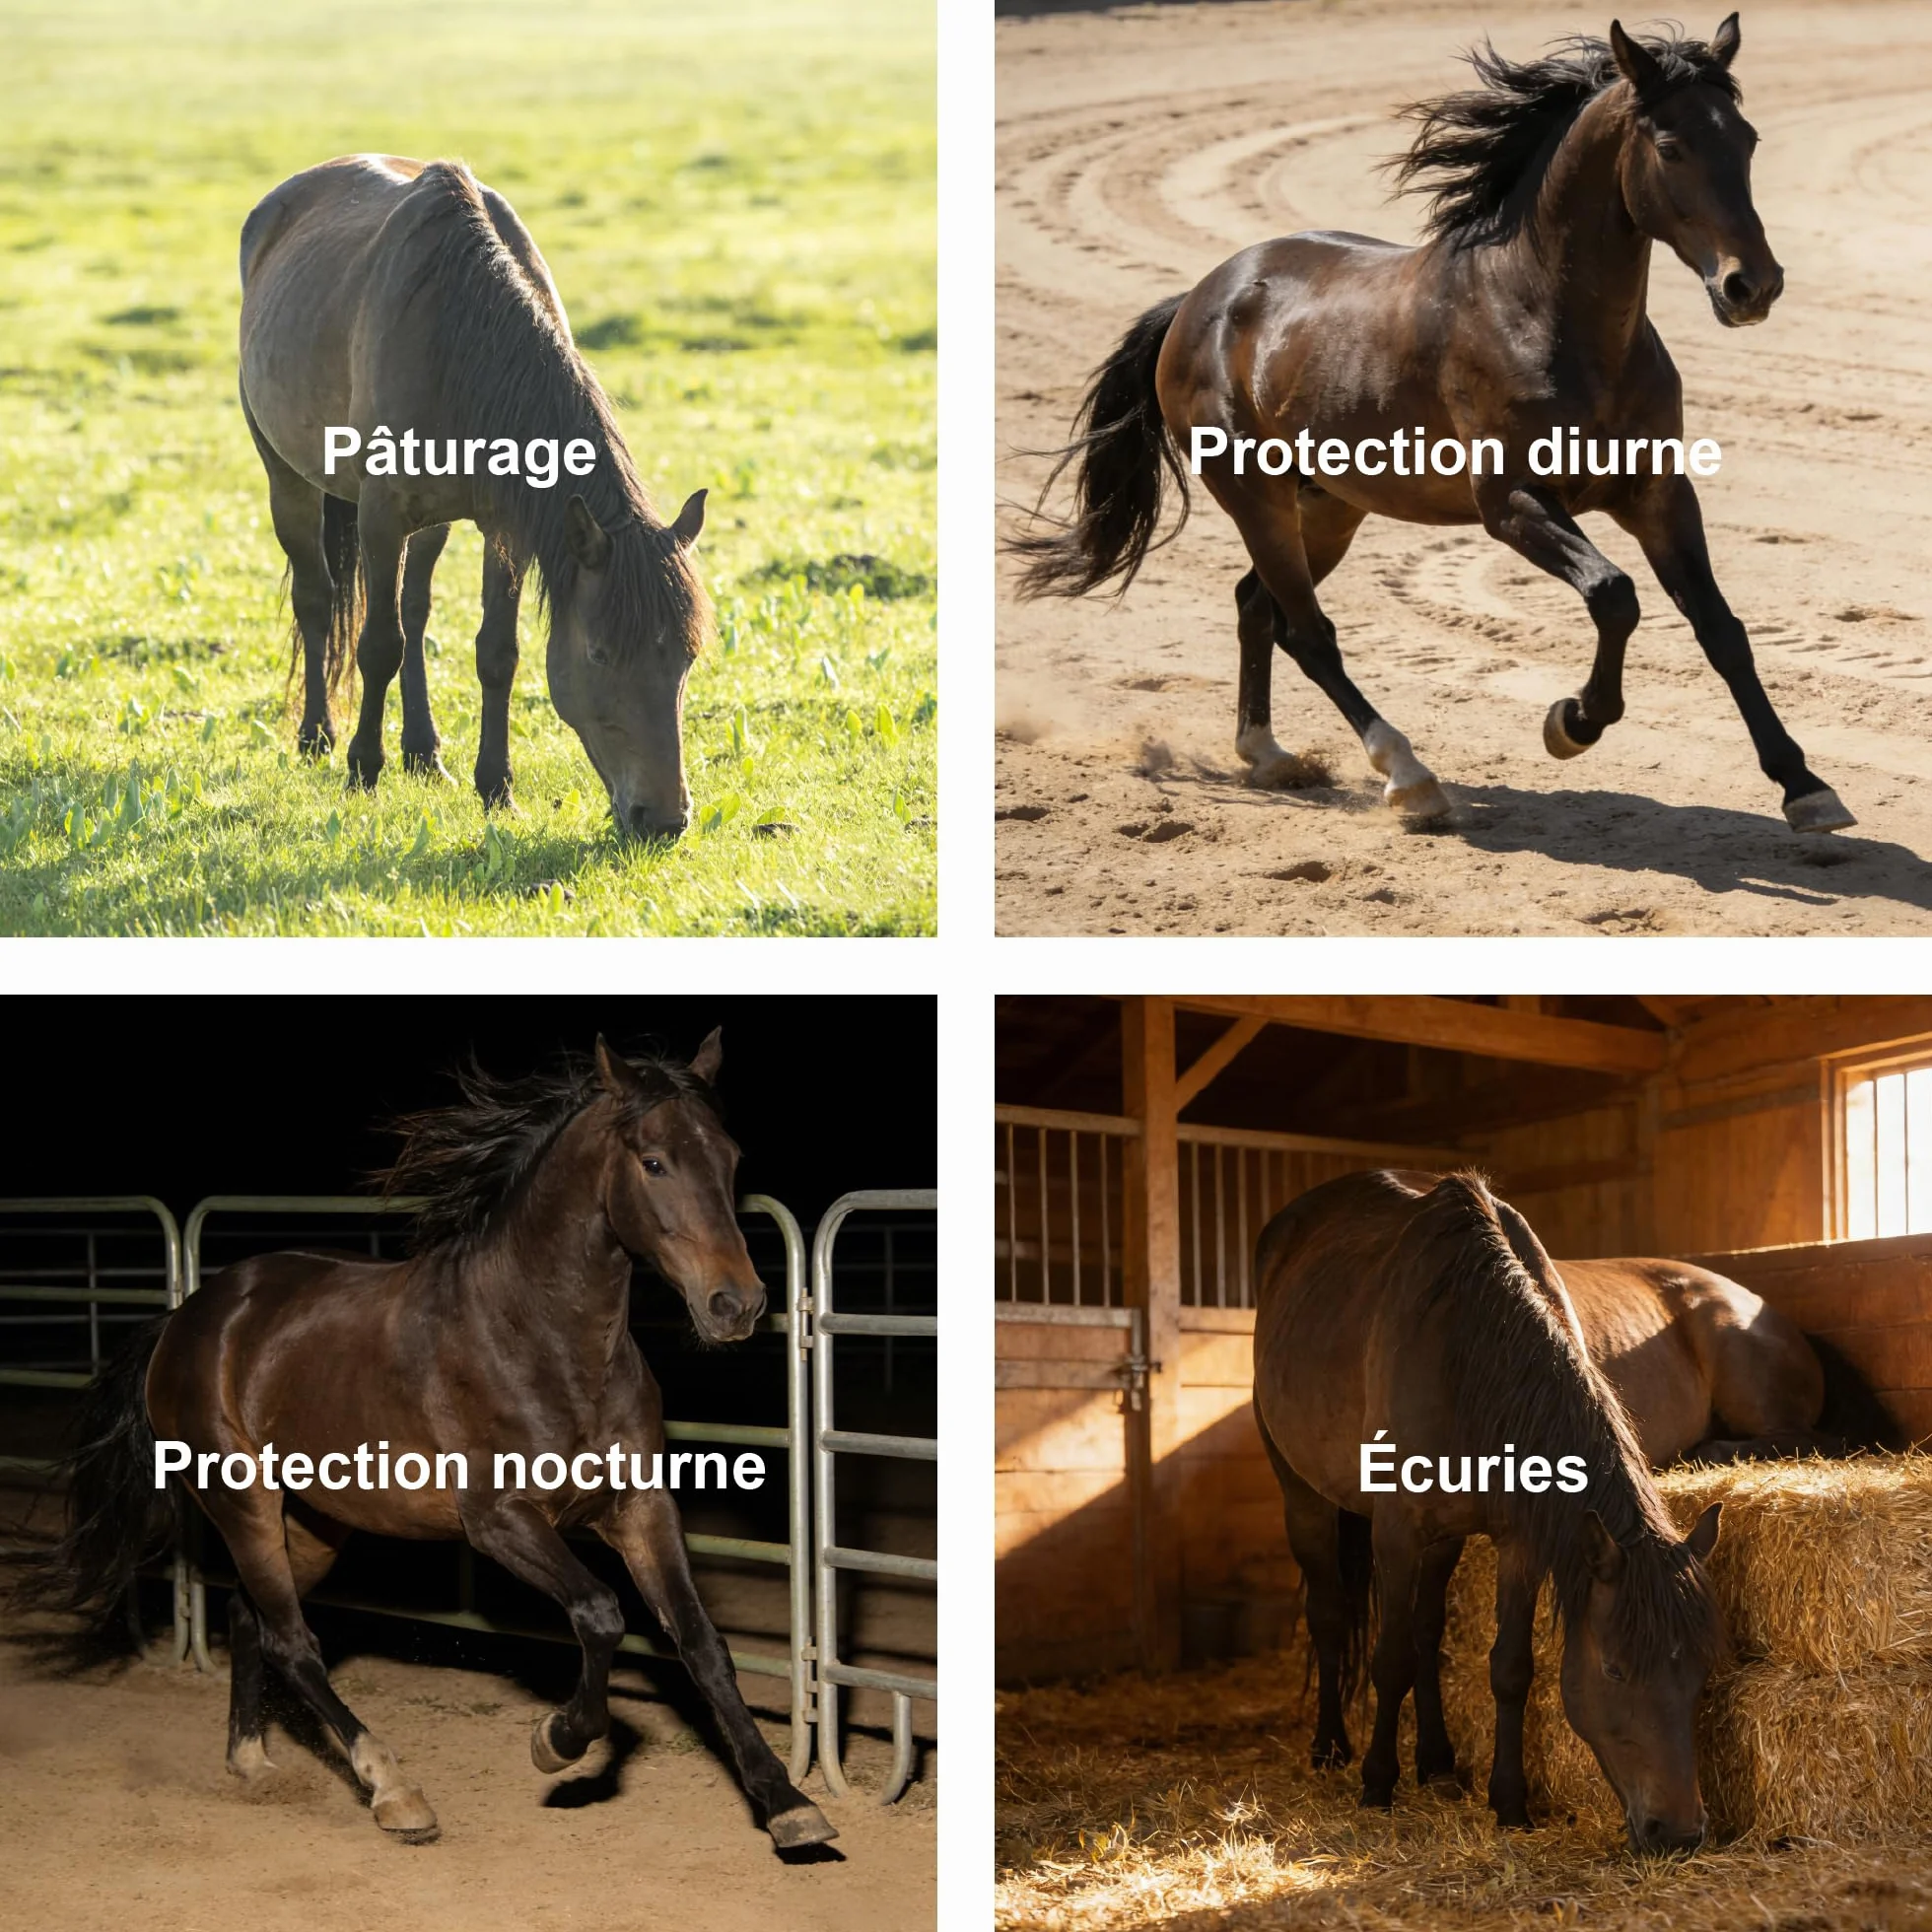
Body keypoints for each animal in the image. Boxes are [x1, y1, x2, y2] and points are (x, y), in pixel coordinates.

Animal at [18, 1032, 837, 1855]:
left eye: (730, 1157)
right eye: (655, 1161)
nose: (738, 1304)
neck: (542, 1341)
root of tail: (187, 1319)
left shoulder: (639, 1507)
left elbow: (703, 1645)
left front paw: (787, 1804)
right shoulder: (500, 1520)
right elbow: (600, 1615)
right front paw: (557, 1741)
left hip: (313, 1523)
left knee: (253, 1620)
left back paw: (251, 1760)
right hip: (242, 1501)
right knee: (292, 1641)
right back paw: (394, 1790)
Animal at [238, 154, 710, 840]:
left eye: (686, 656)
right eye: (599, 654)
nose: (665, 819)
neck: (457, 332)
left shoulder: (502, 526)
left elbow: (496, 654)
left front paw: (496, 787)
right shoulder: (380, 516)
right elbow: (377, 645)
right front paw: (363, 769)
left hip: (431, 523)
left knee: (414, 609)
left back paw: (423, 753)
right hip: (288, 480)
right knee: (318, 599)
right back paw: (318, 737)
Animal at [1010, 17, 1855, 839]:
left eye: (1746, 140)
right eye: (1672, 146)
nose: (1752, 286)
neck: (1545, 317)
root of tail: (1198, 301)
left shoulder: (1658, 493)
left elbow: (1721, 629)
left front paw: (1805, 788)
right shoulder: (1510, 503)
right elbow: (1614, 595)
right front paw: (1572, 722)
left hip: (1328, 506)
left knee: (1259, 606)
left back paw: (1270, 755)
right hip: (1256, 496)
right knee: (1309, 632)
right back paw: (1411, 780)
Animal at [1251, 1168, 1725, 1853]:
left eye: (1700, 1669)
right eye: (1614, 1671)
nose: (1680, 1832)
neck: (1465, 1345)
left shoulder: (1516, 1542)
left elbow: (1508, 1668)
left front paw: (1509, 1801)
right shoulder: (1395, 1534)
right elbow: (1389, 1657)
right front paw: (1377, 1783)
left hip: (1444, 1538)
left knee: (1428, 1631)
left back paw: (1438, 1764)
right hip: (1305, 1500)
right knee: (1332, 1617)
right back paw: (1332, 1749)